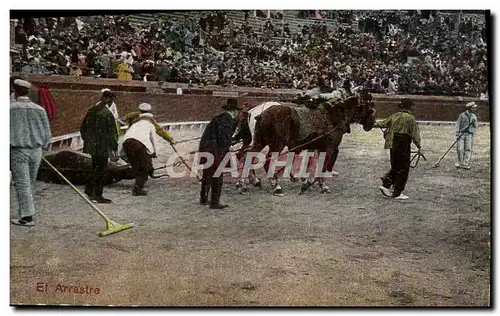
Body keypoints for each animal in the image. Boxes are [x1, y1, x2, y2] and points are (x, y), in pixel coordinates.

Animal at [240, 94, 376, 196]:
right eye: (370, 110)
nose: (372, 124)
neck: (333, 116)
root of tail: (261, 114)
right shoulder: (331, 148)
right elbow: (323, 167)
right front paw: (319, 185)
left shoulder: (316, 147)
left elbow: (313, 164)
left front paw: (308, 182)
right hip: (276, 145)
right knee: (267, 161)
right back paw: (275, 185)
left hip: (260, 142)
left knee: (247, 155)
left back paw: (245, 183)